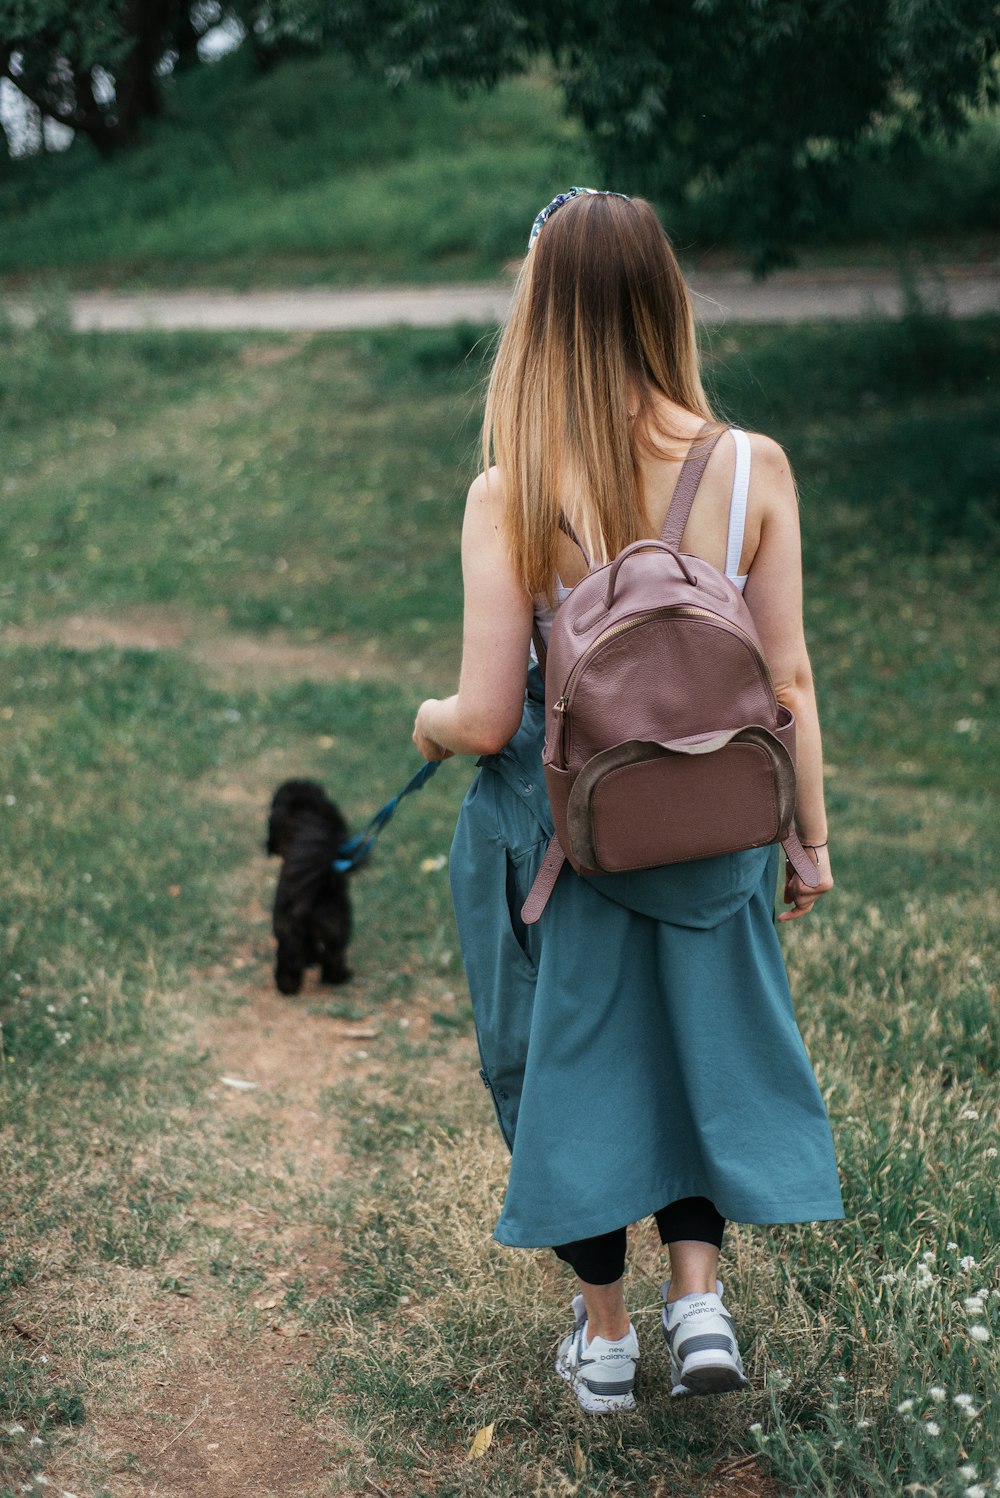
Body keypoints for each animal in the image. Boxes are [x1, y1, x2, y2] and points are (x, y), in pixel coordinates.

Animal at [264, 784, 354, 994]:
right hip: (338, 925)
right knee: (333, 956)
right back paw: (339, 976)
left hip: (287, 930)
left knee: (289, 958)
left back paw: (287, 986)